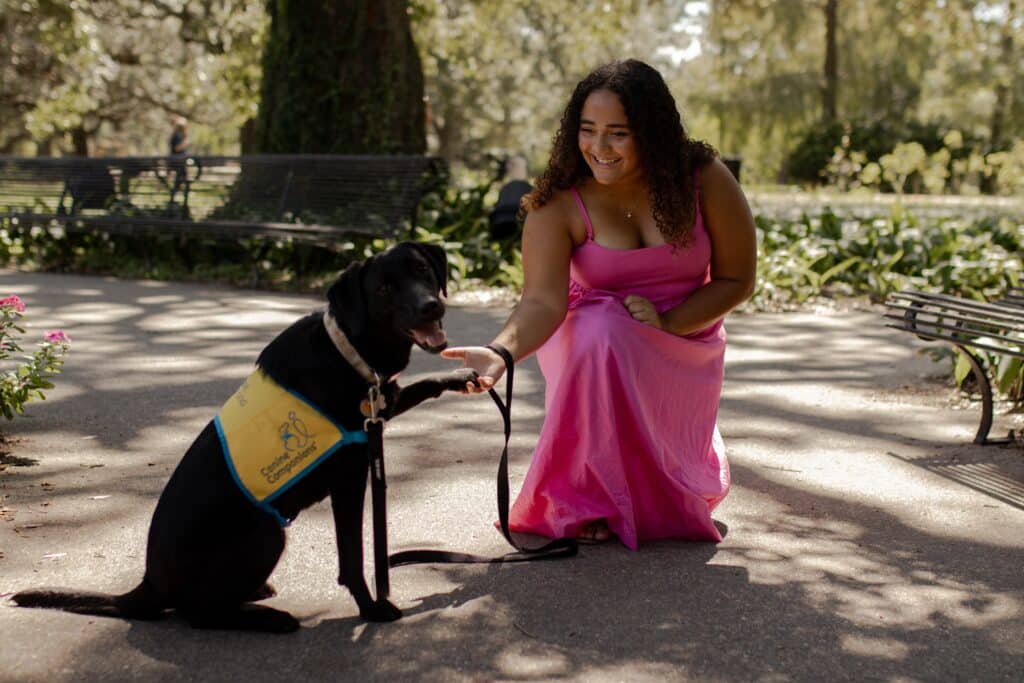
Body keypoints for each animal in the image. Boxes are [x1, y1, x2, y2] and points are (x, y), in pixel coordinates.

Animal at [12, 241, 475, 634]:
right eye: (383, 289)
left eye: (422, 270)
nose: (431, 305)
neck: (349, 349)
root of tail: (147, 584)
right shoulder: (349, 479)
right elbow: (354, 557)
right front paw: (373, 608)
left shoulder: (381, 404)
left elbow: (421, 384)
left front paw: (462, 375)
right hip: (267, 532)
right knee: (198, 614)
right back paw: (269, 618)